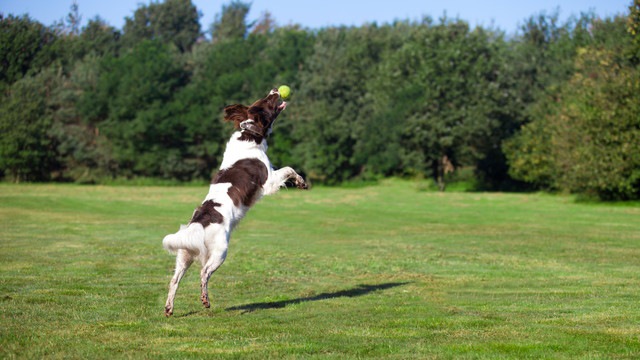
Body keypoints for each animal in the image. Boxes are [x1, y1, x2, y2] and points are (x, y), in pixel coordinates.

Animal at [162, 88, 308, 316]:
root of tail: (198, 224)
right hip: (220, 251)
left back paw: (169, 308)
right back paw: (205, 300)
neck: (249, 136)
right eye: (267, 102)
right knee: (204, 273)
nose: (275, 90)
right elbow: (289, 168)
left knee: (174, 280)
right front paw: (301, 182)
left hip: (185, 254)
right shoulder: (268, 180)